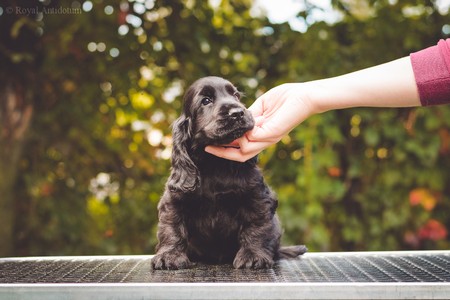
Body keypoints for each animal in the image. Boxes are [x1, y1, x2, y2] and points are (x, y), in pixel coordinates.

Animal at [151, 77, 306, 270]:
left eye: (236, 95)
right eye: (206, 101)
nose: (238, 112)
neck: (215, 164)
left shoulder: (257, 196)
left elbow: (257, 225)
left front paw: (253, 255)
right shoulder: (174, 199)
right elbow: (172, 227)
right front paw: (169, 256)